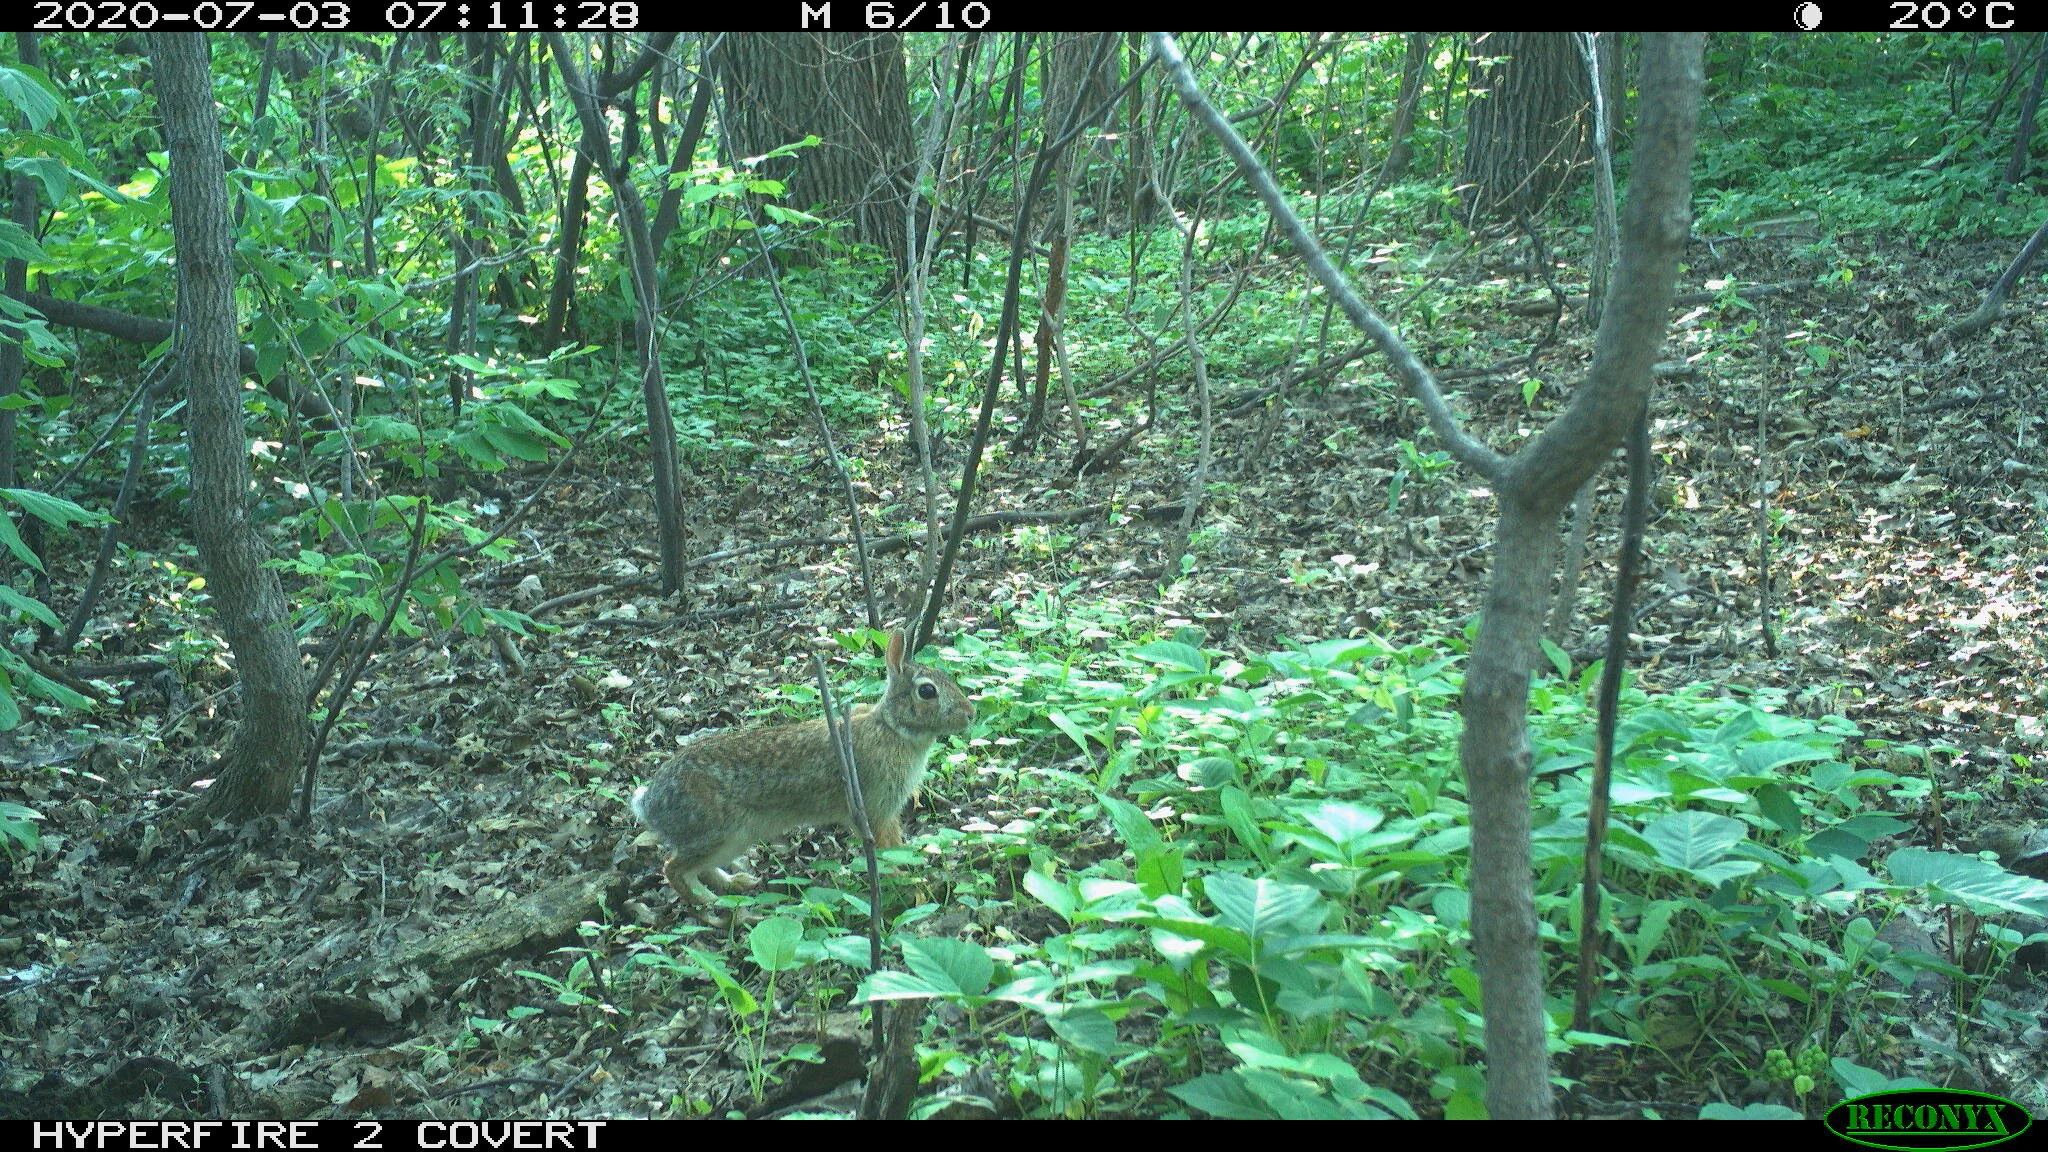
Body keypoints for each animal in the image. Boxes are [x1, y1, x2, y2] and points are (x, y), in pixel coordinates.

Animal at [631, 630, 975, 904]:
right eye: (927, 691)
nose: (970, 714)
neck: (892, 728)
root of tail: (649, 803)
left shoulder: (887, 812)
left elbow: (896, 845)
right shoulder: (873, 810)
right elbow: (886, 851)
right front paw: (903, 879)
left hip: (734, 839)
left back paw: (736, 884)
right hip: (715, 833)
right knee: (673, 869)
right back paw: (710, 905)